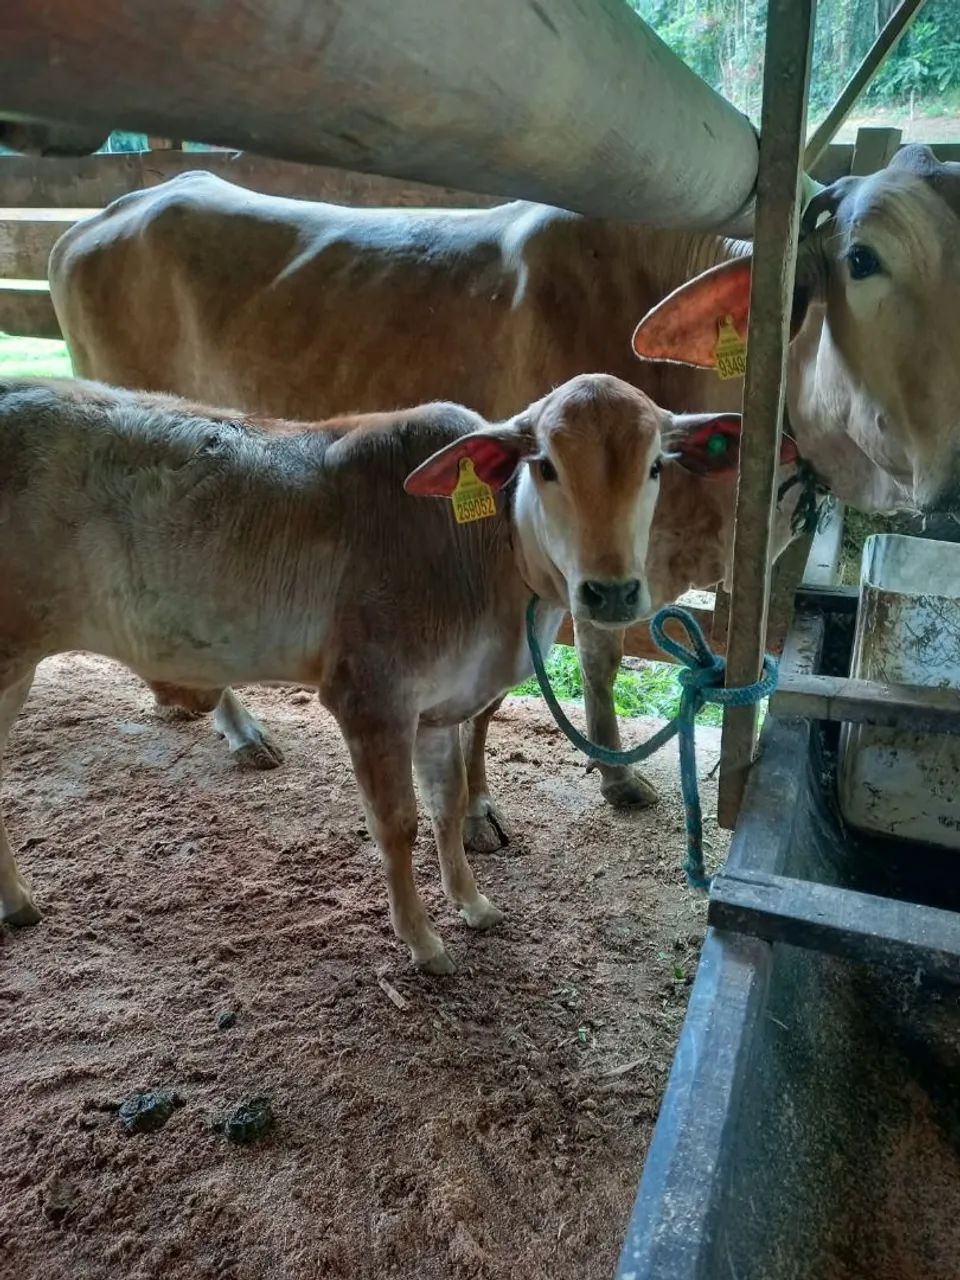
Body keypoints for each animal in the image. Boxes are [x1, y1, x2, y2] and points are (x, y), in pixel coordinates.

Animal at [0, 375, 799, 971]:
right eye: (545, 464)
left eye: (656, 465)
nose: (610, 593)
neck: (487, 556)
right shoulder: (371, 698)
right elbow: (399, 823)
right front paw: (421, 941)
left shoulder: (439, 709)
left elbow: (447, 807)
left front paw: (473, 904)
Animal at [48, 143, 959, 845]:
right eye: (862, 259)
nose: (953, 477)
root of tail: (117, 206)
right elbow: (552, 675)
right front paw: (542, 796)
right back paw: (237, 726)